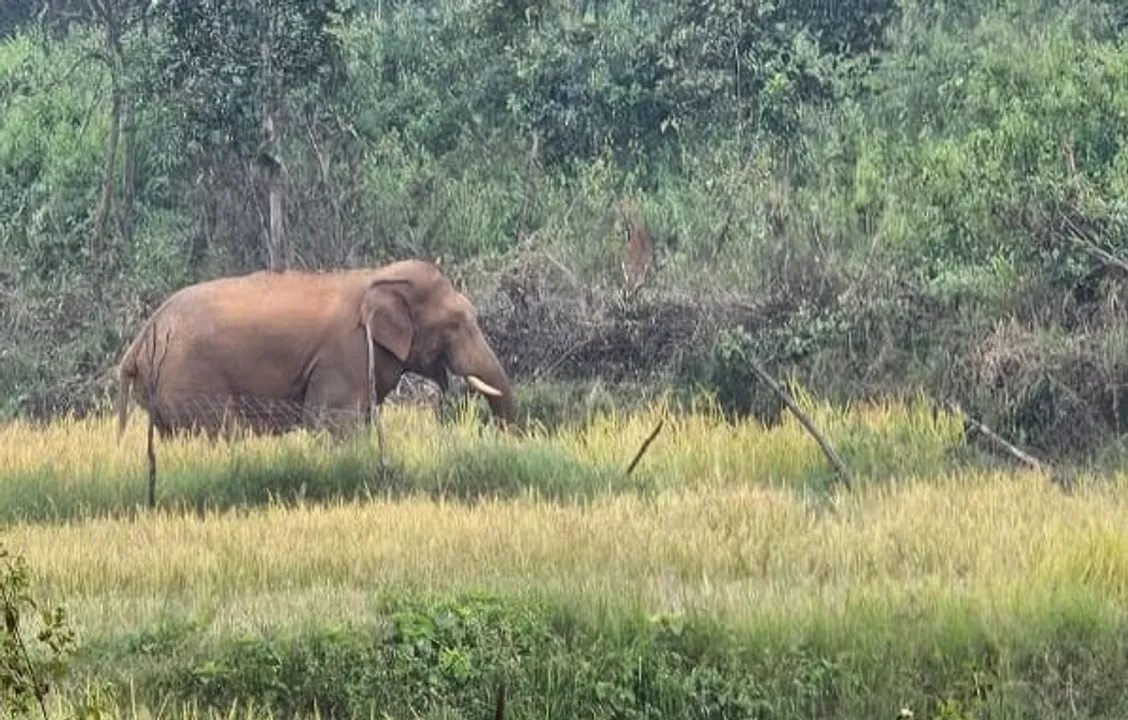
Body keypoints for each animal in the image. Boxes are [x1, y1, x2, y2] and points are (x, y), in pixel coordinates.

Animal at [116, 259, 514, 443]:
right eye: (456, 324)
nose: (504, 440)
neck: (376, 276)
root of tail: (140, 340)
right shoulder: (344, 355)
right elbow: (334, 424)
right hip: (190, 377)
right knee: (220, 432)